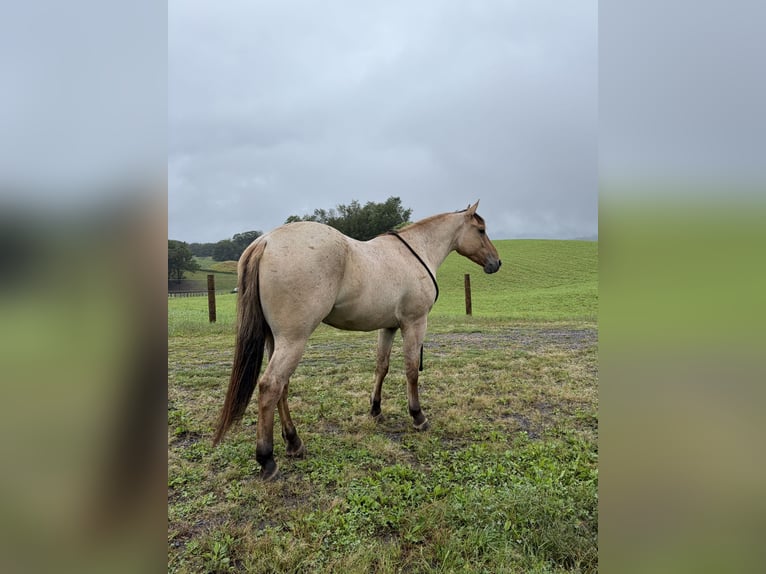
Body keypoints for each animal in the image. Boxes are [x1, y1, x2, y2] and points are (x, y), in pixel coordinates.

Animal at [212, 200, 502, 479]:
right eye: (481, 230)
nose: (496, 263)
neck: (415, 253)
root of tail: (266, 241)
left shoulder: (388, 327)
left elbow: (382, 367)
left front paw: (375, 409)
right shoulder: (414, 323)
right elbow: (411, 370)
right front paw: (418, 416)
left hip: (276, 340)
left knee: (282, 386)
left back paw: (294, 442)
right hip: (293, 340)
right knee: (270, 386)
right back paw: (267, 460)